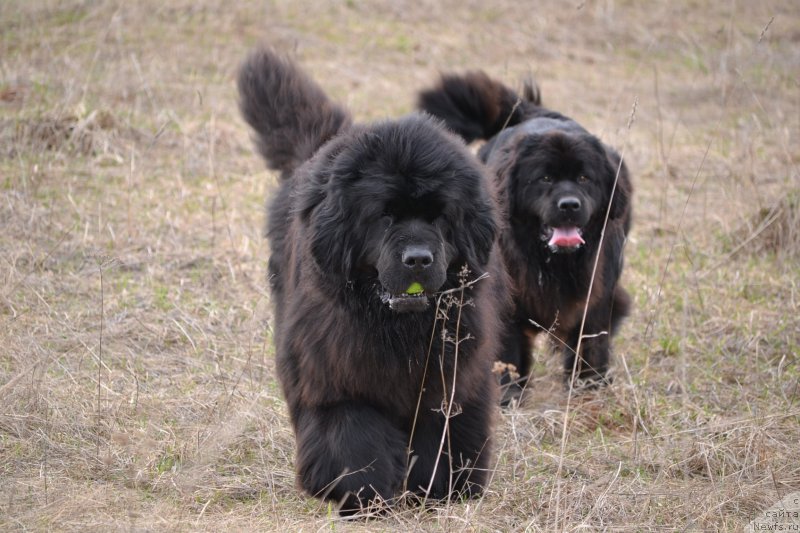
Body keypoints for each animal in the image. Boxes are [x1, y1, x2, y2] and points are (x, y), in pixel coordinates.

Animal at [241, 48, 510, 512]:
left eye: (440, 216)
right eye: (384, 217)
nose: (418, 259)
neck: (397, 328)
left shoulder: (452, 379)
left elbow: (442, 433)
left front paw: (439, 491)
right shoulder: (335, 374)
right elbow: (353, 435)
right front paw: (361, 492)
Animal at [418, 72, 632, 402]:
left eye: (585, 178)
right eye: (544, 178)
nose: (569, 204)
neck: (553, 263)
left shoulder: (599, 293)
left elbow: (592, 338)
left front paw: (589, 384)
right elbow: (509, 347)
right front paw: (508, 393)